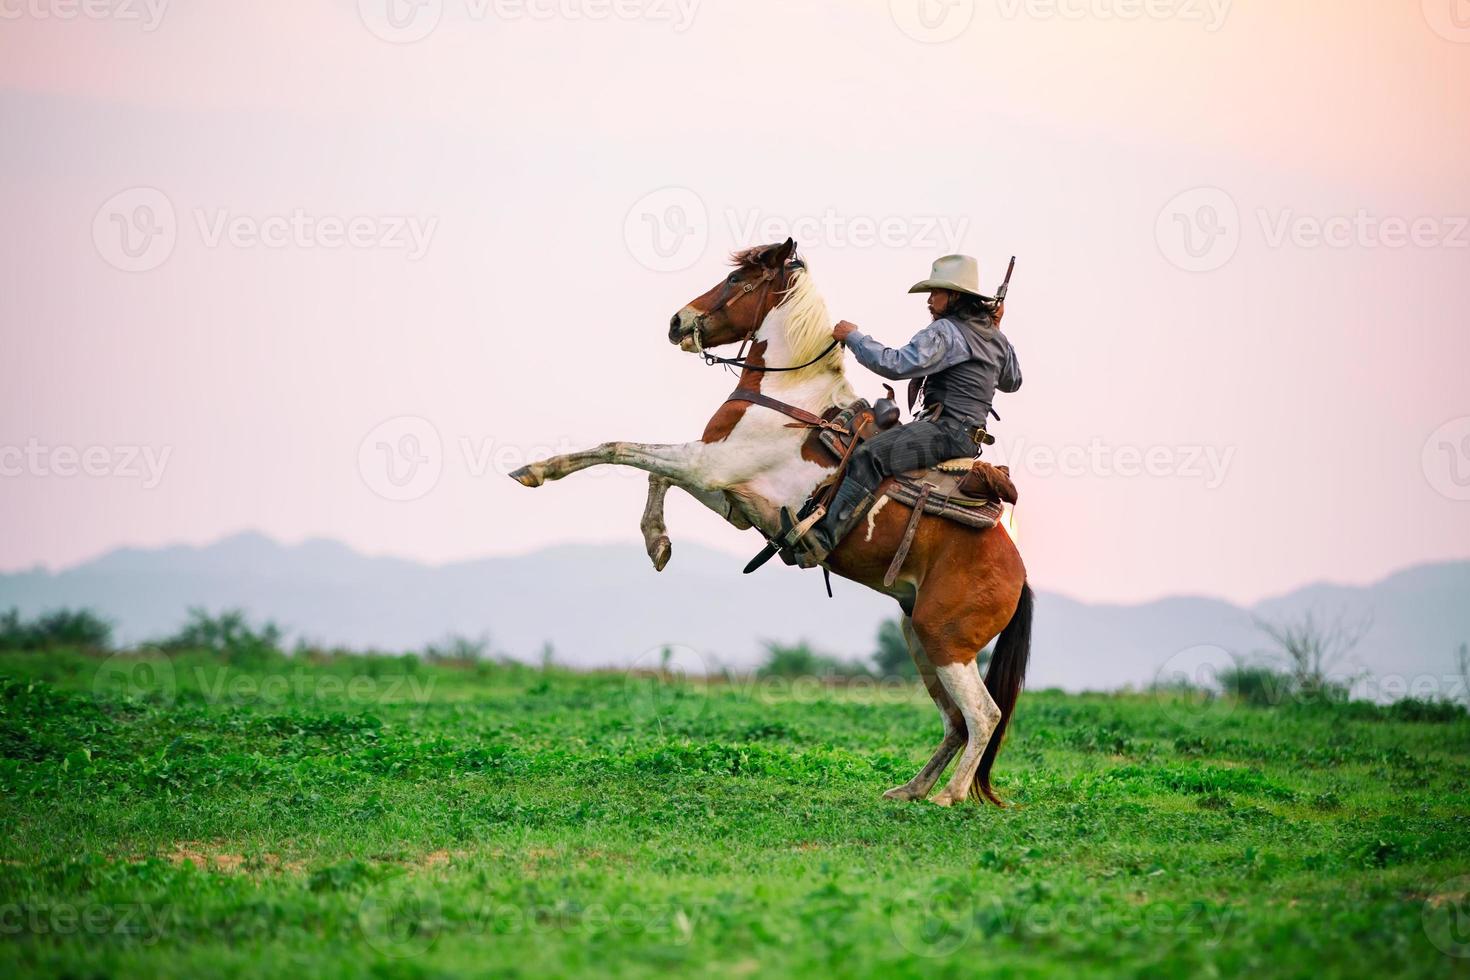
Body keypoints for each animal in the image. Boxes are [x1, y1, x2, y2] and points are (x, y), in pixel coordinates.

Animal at [514, 240, 1034, 811]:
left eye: (737, 279)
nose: (678, 321)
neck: (793, 396)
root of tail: (1020, 575)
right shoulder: (728, 492)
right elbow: (653, 473)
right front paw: (657, 543)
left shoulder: (708, 465)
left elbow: (622, 449)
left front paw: (538, 470)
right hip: (919, 636)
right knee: (955, 721)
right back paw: (911, 788)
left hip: (946, 642)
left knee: (983, 714)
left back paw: (950, 797)